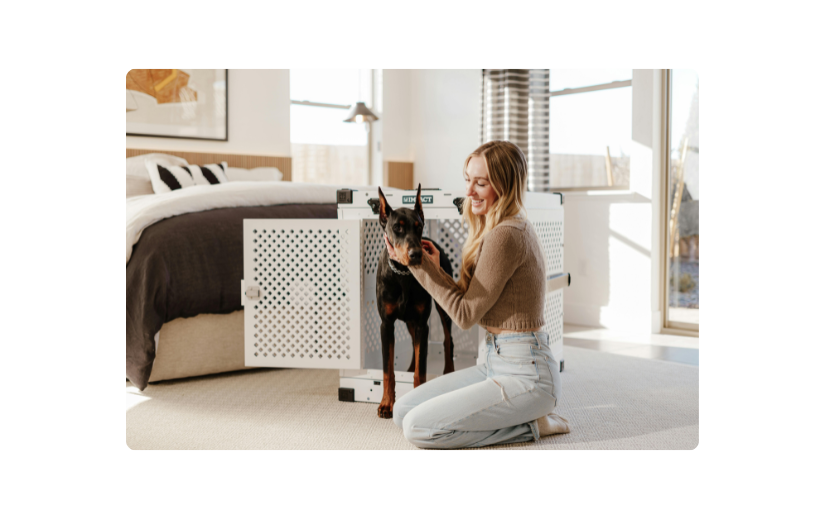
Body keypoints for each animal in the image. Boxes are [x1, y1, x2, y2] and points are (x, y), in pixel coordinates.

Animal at [376, 185, 454, 420]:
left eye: (419, 227)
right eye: (397, 228)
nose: (417, 254)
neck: (402, 275)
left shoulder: (422, 324)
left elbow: (422, 369)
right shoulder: (386, 325)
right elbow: (388, 370)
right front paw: (386, 403)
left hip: (442, 308)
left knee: (448, 340)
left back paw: (449, 371)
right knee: (413, 343)